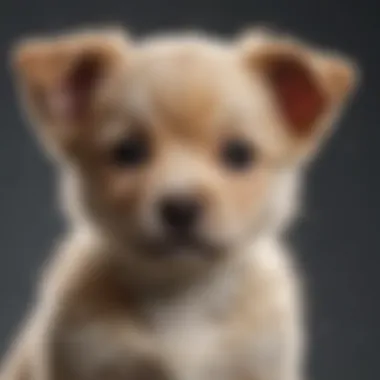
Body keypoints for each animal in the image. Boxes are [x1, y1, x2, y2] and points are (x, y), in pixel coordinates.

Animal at [0, 26, 358, 380]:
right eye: (127, 152)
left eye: (238, 153)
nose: (180, 208)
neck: (183, 294)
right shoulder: (81, 358)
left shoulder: (262, 362)